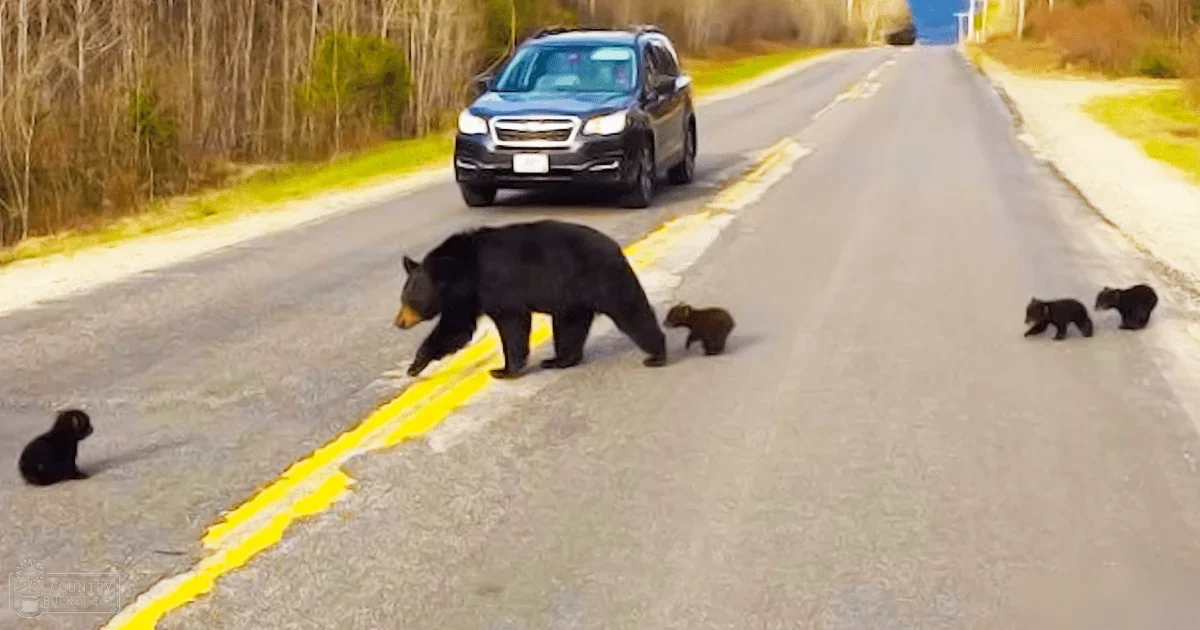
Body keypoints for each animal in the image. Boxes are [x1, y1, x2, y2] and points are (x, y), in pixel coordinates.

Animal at [395, 220, 668, 380]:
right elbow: (456, 329)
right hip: (573, 298)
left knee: (631, 311)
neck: (465, 269)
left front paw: (503, 370)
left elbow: (512, 324)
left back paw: (657, 355)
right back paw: (558, 360)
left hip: (604, 279)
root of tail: (616, 247)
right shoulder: (468, 298)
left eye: (408, 300)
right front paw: (416, 365)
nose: (398, 322)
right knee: (570, 327)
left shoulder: (497, 284)